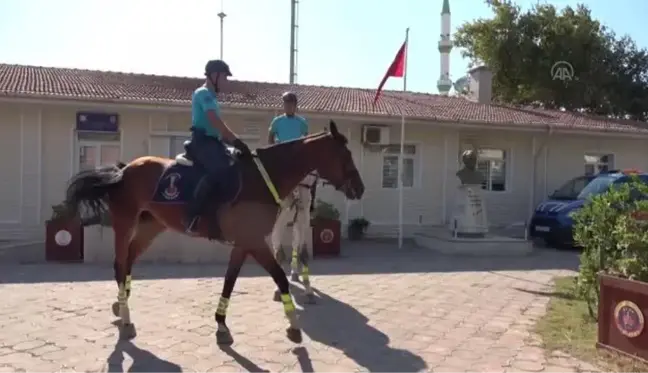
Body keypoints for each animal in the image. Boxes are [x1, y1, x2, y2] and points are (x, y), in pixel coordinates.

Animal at [64, 120, 364, 344]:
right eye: (345, 155)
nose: (359, 188)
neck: (260, 179)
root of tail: (124, 170)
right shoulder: (256, 242)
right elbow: (279, 278)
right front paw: (293, 326)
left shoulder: (244, 243)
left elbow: (230, 280)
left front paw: (221, 324)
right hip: (125, 223)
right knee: (119, 263)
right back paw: (126, 318)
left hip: (151, 226)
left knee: (128, 261)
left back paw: (120, 303)